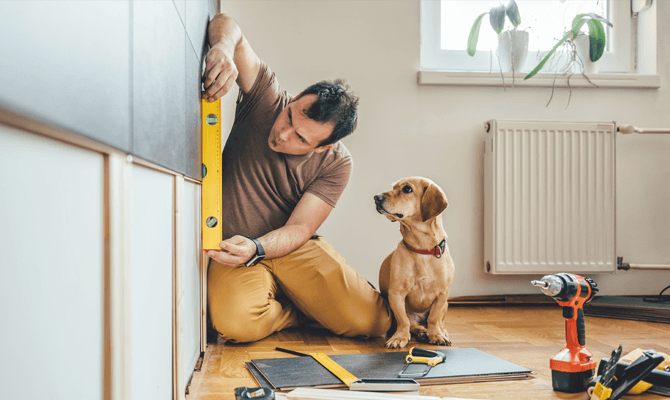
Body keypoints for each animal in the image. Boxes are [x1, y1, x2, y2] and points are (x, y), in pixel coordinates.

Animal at [376, 177, 454, 348]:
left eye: (407, 189)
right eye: (393, 187)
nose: (376, 197)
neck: (422, 249)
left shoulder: (442, 295)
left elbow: (434, 318)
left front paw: (436, 335)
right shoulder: (396, 294)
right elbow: (404, 321)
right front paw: (399, 338)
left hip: (446, 304)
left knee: (438, 322)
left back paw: (439, 332)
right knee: (413, 324)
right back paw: (422, 332)